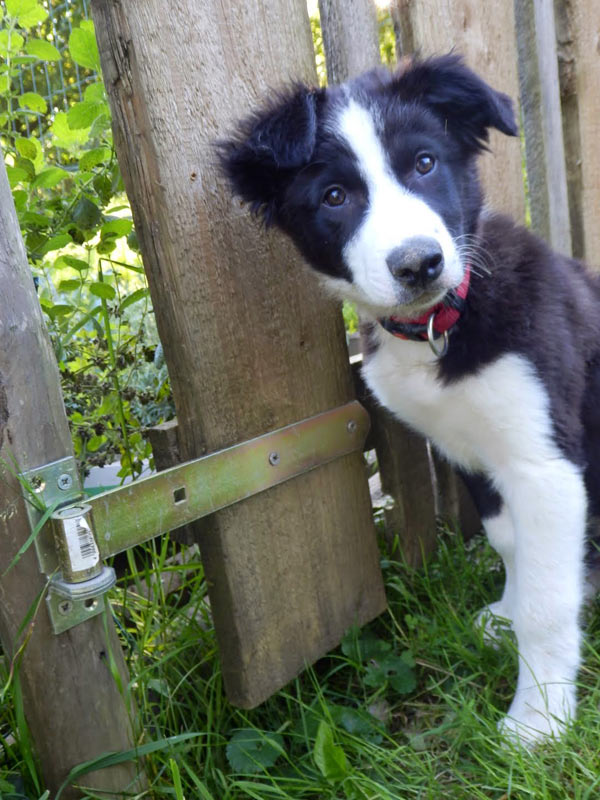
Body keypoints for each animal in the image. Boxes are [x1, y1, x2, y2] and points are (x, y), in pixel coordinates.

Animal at [220, 54, 600, 744]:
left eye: (424, 163)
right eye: (335, 196)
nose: (419, 264)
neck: (441, 326)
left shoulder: (545, 465)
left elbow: (547, 600)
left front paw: (538, 720)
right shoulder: (473, 453)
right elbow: (511, 543)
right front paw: (507, 617)